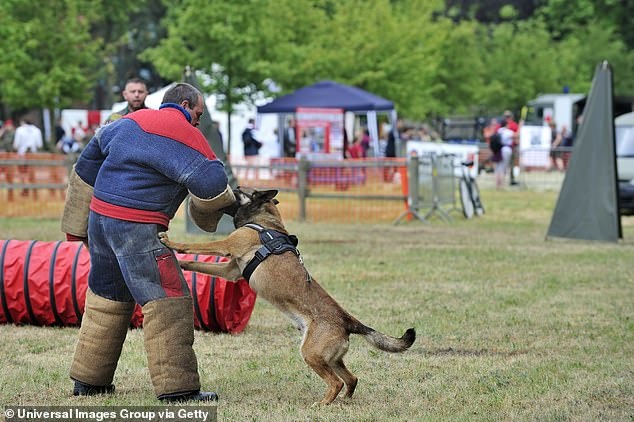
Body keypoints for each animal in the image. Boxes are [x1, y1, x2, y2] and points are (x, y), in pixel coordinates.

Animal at [158, 188, 414, 406]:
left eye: (242, 190)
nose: (230, 186)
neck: (265, 222)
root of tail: (347, 320)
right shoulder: (230, 271)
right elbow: (197, 263)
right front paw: (181, 264)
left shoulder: (228, 245)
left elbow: (193, 244)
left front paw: (170, 242)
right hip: (331, 358)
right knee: (352, 379)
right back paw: (343, 401)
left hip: (311, 353)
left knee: (337, 382)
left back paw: (323, 403)